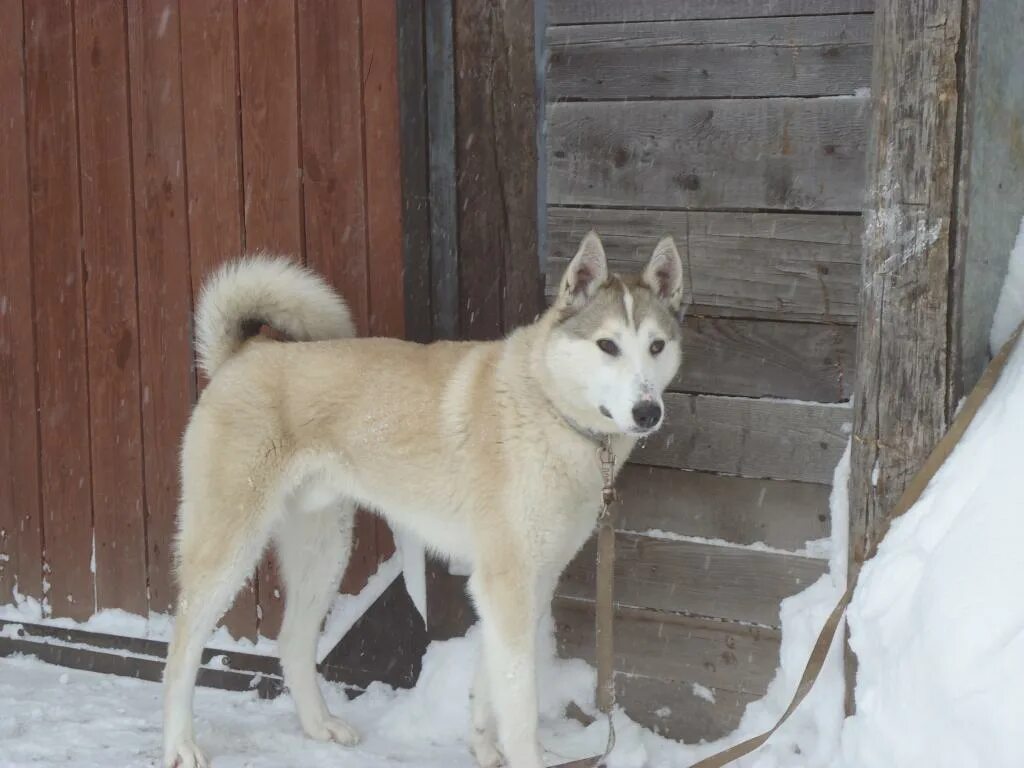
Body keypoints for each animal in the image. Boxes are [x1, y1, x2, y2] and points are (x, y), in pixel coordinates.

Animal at [163, 233, 684, 768]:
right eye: (607, 345)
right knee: (181, 649)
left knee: (292, 642)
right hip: (229, 548)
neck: (548, 406)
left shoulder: (530, 582)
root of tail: (243, 353)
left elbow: (489, 685)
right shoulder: (507, 584)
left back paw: (319, 726)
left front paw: (483, 748)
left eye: (656, 346)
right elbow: (520, 706)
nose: (648, 411)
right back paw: (180, 744)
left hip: (325, 550)